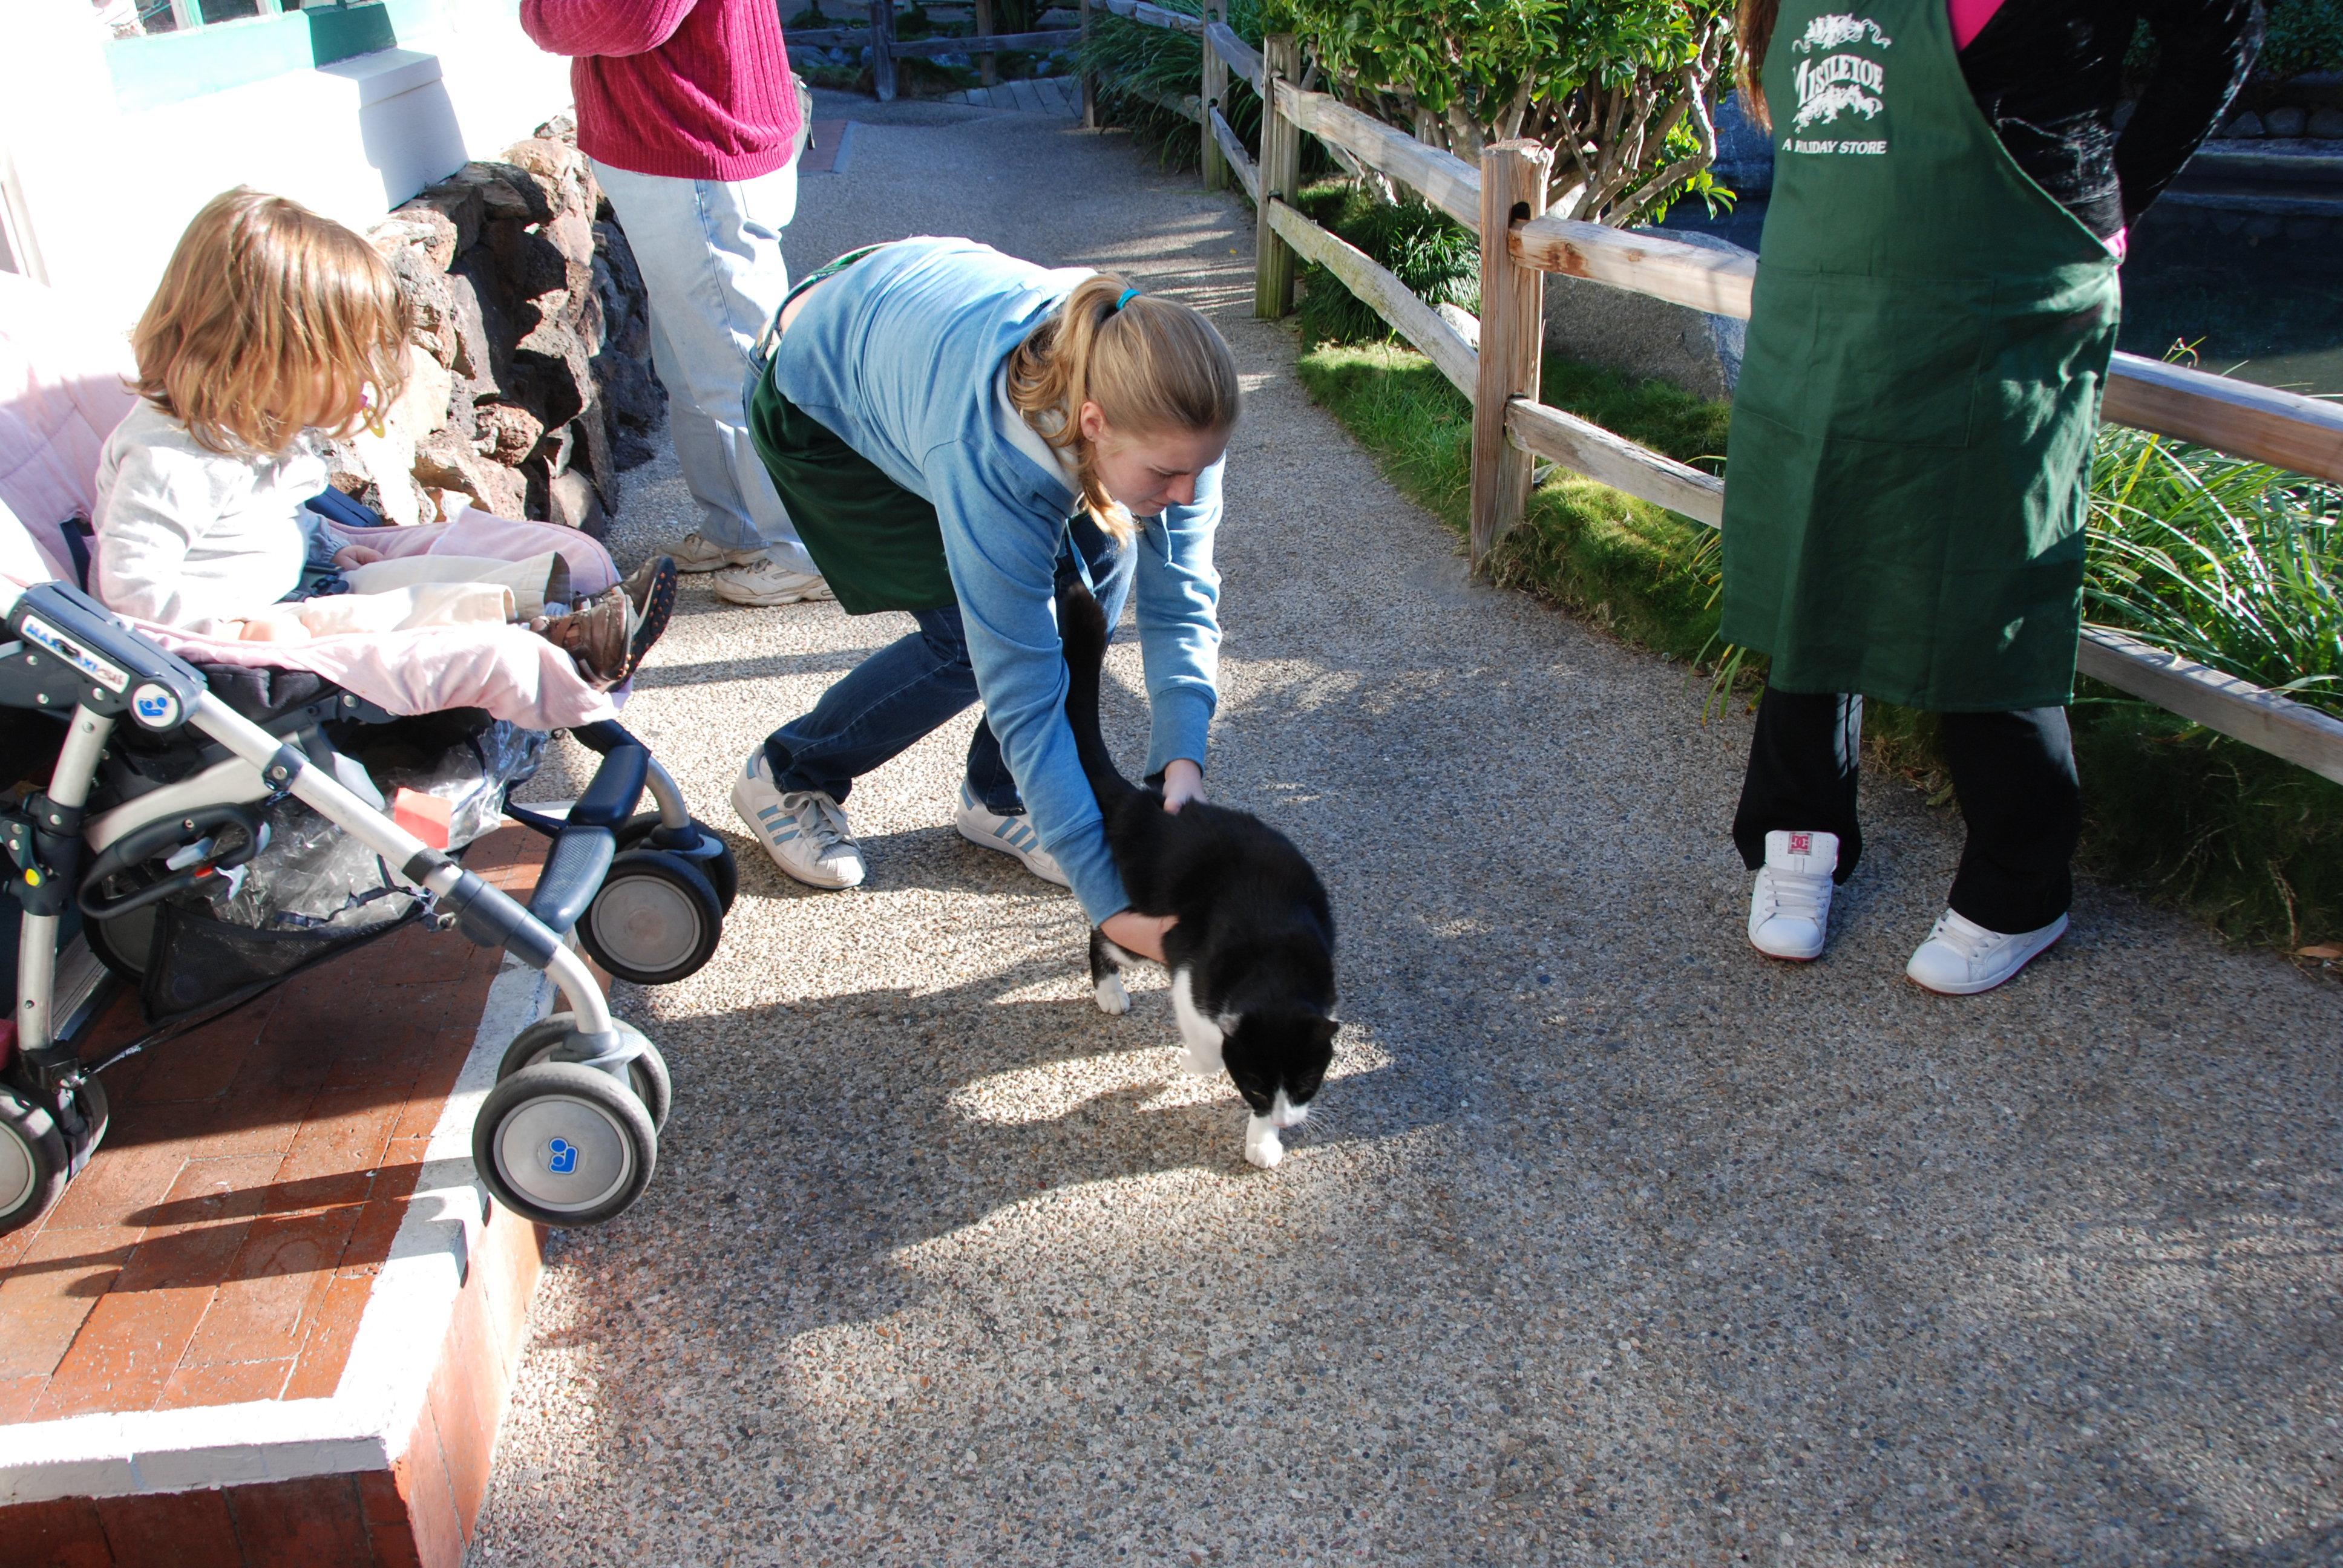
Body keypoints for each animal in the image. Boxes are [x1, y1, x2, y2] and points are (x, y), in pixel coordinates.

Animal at [1057, 577, 1338, 1169]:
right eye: (1254, 1085)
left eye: (1306, 1082)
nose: (1285, 1118)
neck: (1274, 966)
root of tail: (1145, 807)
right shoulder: (1191, 974)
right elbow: (1209, 1046)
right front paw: (1196, 1064)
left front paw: (1264, 1141)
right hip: (1141, 929)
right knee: (1102, 929)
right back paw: (1109, 992)